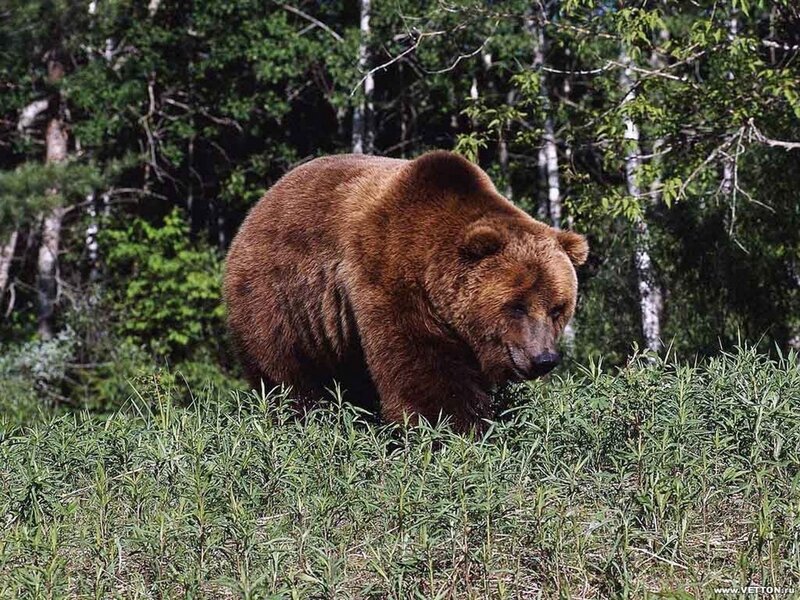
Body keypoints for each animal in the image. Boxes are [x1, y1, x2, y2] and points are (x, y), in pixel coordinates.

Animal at [223, 150, 588, 433]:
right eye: (516, 306)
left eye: (558, 308)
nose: (543, 359)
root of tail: (258, 207)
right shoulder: (390, 280)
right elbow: (423, 371)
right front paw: (456, 430)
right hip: (279, 300)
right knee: (286, 374)